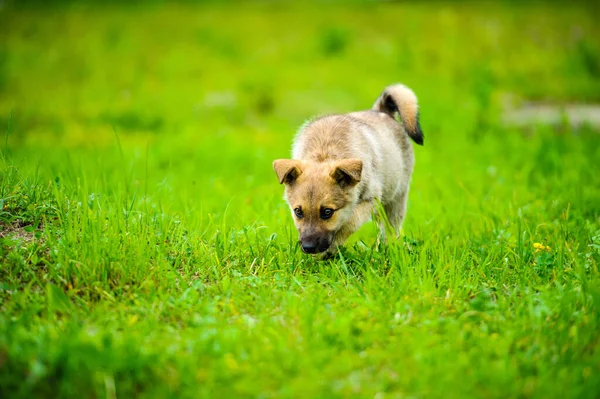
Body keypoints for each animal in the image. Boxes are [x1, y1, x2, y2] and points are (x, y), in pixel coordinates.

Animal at [272, 85, 422, 260]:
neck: (324, 153)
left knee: (390, 229)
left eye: (327, 212)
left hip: (396, 197)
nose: (308, 248)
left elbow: (349, 223)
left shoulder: (369, 200)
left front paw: (329, 250)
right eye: (298, 212)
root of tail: (382, 110)